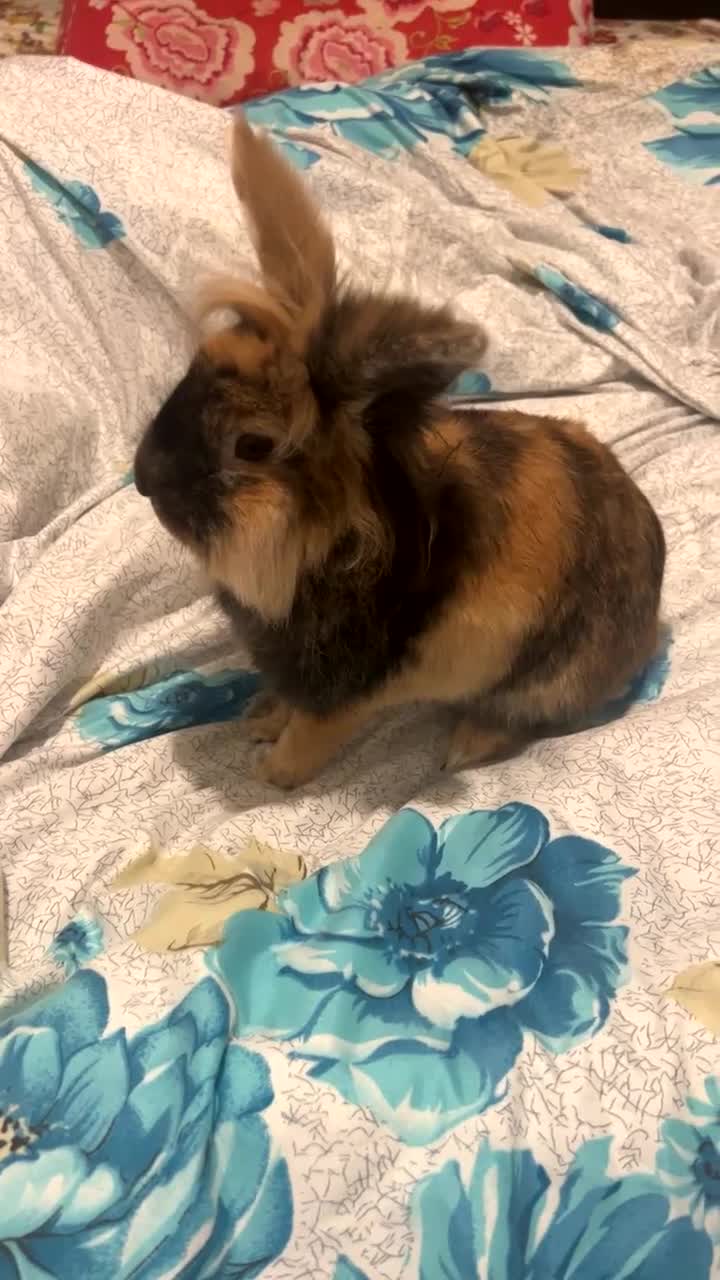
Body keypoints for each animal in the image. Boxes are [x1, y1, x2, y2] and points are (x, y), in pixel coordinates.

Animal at [134, 118, 665, 789]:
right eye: (193, 369)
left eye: (252, 446)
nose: (142, 478)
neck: (333, 538)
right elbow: (283, 706)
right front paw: (258, 721)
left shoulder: (341, 699)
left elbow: (305, 742)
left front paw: (267, 773)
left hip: (541, 686)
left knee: (518, 719)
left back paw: (461, 748)